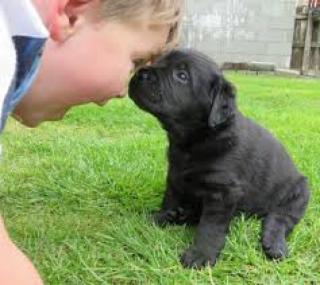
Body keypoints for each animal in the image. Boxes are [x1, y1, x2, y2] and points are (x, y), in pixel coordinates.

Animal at [127, 49, 310, 268]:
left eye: (182, 76)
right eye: (159, 60)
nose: (140, 73)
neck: (198, 138)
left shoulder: (223, 193)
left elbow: (210, 227)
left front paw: (201, 254)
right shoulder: (175, 175)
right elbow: (170, 198)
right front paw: (161, 217)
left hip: (298, 193)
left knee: (280, 218)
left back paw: (273, 243)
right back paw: (181, 214)